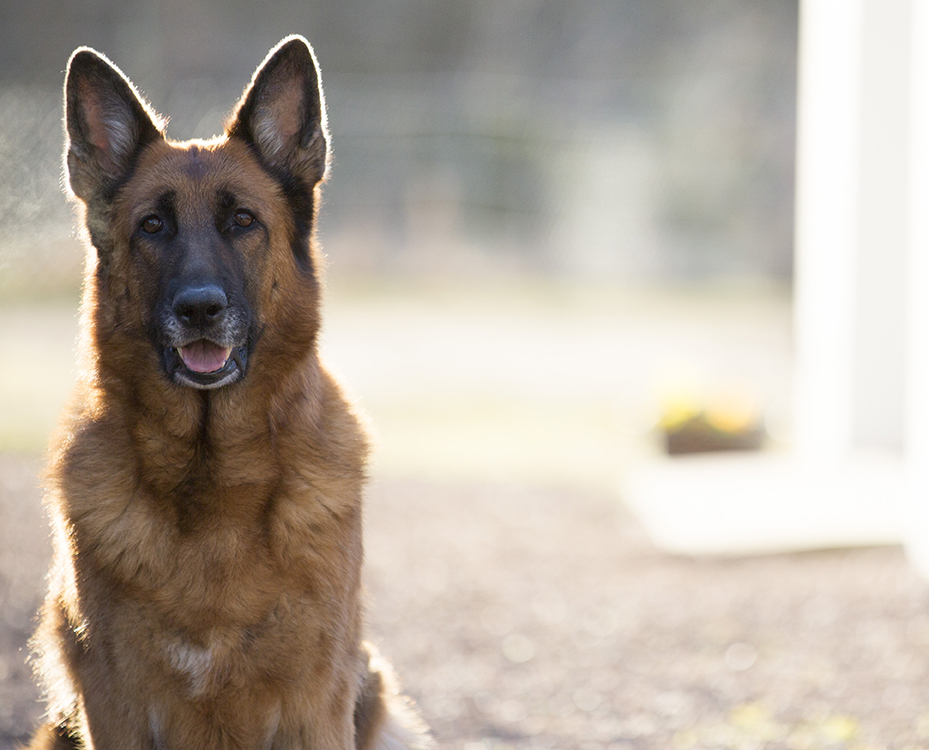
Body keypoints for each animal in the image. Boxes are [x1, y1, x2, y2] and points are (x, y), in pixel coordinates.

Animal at [26, 35, 432, 750]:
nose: (199, 309)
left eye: (243, 220)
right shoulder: (116, 710)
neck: (211, 476)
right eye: (153, 226)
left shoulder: (316, 706)